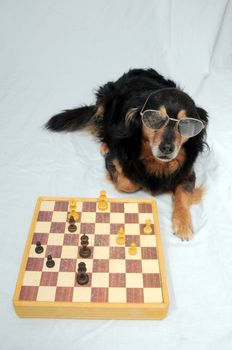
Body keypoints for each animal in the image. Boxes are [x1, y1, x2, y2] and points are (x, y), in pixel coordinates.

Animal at [45, 69, 208, 242]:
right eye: (154, 118)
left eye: (186, 125)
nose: (166, 148)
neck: (156, 161)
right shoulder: (114, 157)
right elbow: (129, 183)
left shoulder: (188, 172)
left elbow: (182, 195)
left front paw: (183, 224)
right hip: (105, 98)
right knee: (101, 126)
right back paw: (105, 143)